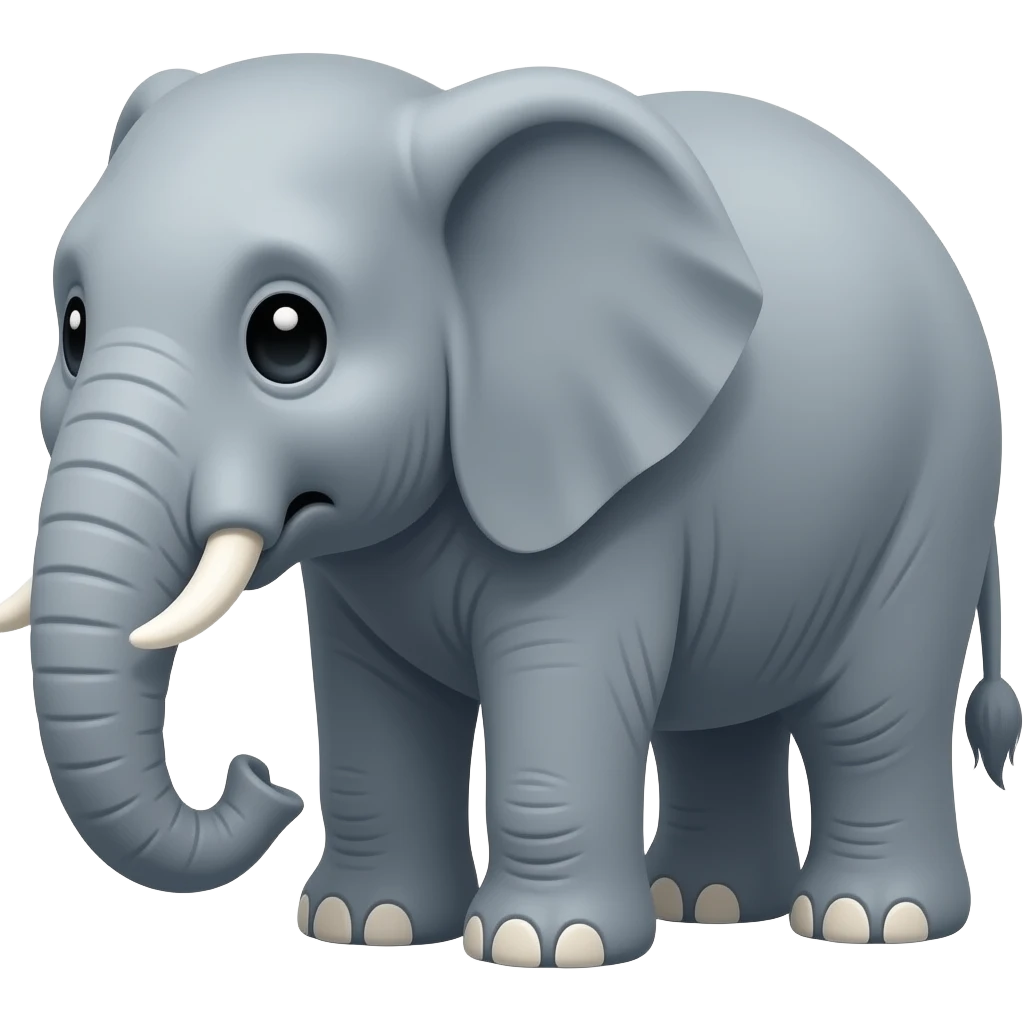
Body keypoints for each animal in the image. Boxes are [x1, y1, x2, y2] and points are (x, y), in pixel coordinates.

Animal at [2, 55, 1018, 967]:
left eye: (287, 337)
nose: (258, 778)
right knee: (725, 714)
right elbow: (372, 699)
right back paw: (706, 900)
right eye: (74, 328)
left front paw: (541, 944)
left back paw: (866, 920)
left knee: (876, 705)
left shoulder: (608, 514)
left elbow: (558, 681)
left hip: (940, 487)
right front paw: (363, 925)